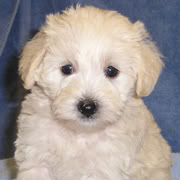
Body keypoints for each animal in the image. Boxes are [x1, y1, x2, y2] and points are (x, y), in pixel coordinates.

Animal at [15, 5, 172, 180]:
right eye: (67, 69)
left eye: (111, 71)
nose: (88, 107)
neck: (80, 133)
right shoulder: (36, 157)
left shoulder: (103, 168)